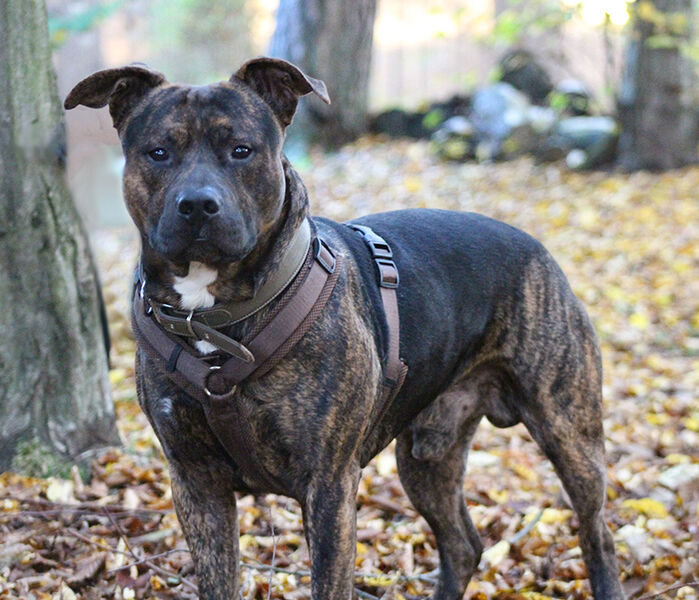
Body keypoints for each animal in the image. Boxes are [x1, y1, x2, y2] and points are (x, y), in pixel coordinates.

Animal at [65, 57, 625, 599]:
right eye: (158, 152)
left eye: (241, 150)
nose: (198, 204)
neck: (214, 315)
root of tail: (537, 247)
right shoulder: (197, 486)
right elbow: (219, 581)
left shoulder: (330, 485)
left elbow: (329, 582)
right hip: (427, 456)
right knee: (462, 543)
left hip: (568, 429)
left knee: (596, 530)